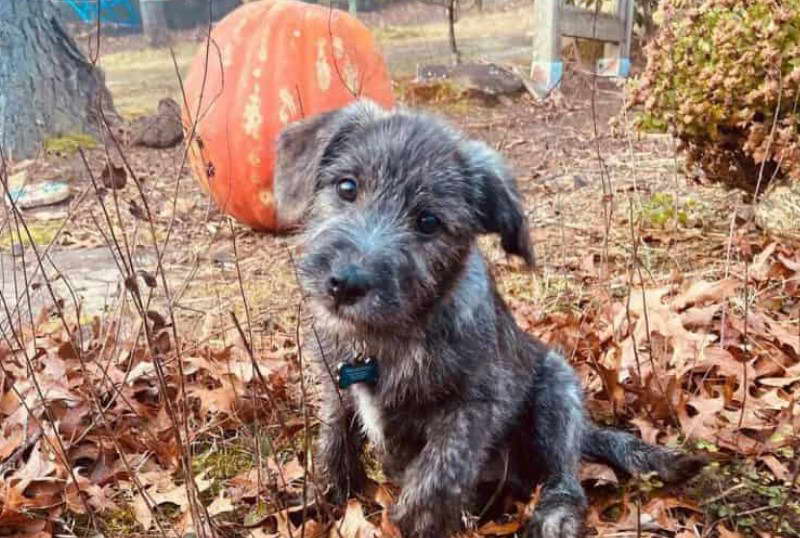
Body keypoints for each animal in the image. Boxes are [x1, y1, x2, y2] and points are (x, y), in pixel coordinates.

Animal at [276, 98, 708, 532]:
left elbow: (436, 476)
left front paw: (411, 521)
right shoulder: (337, 394)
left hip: (557, 390)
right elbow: (335, 446)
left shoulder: (472, 408)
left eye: (428, 222)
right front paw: (325, 502)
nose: (345, 284)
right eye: (347, 187)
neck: (382, 338)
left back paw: (556, 514)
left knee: (566, 475)